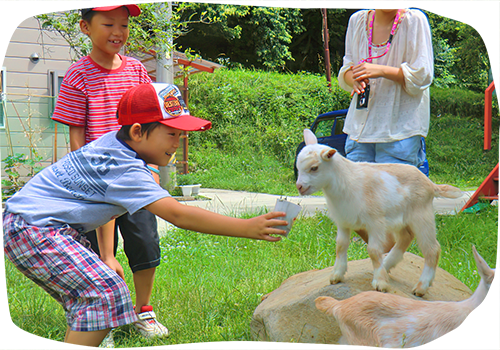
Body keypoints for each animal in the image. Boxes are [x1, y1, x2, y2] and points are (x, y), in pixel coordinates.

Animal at [294, 129, 462, 296]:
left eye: (314, 168)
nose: (299, 187)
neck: (347, 181)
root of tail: (431, 184)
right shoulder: (343, 221)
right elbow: (340, 246)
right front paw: (336, 275)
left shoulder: (375, 223)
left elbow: (373, 250)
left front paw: (380, 283)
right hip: (400, 220)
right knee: (406, 237)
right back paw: (386, 265)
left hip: (422, 215)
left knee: (432, 249)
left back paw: (421, 287)